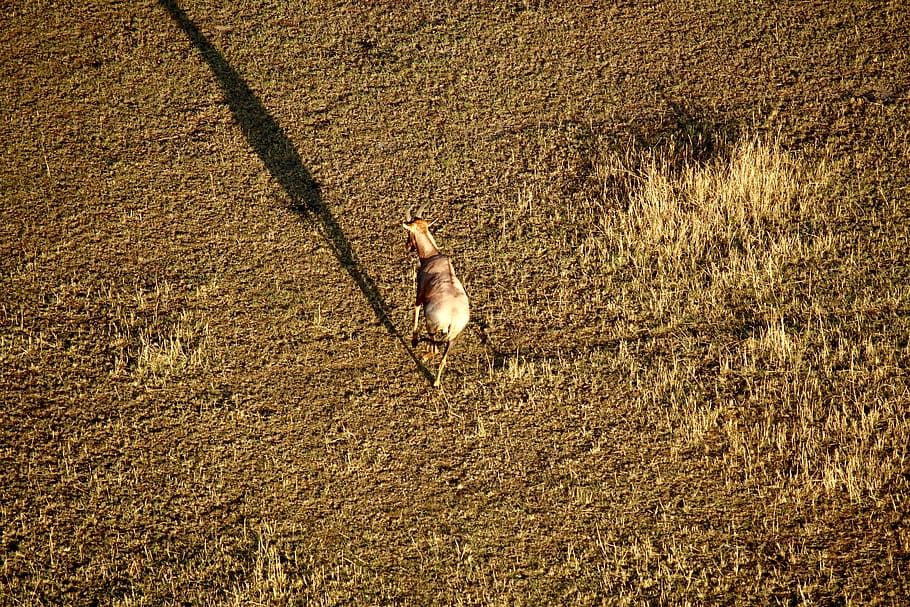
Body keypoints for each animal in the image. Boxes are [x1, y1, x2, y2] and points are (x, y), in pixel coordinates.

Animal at [403, 205, 470, 387]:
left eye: (409, 232)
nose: (408, 247)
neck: (433, 257)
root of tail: (454, 318)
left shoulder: (419, 295)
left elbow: (415, 309)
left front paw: (414, 340)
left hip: (432, 326)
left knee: (434, 348)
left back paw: (425, 356)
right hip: (453, 337)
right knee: (443, 359)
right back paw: (436, 383)